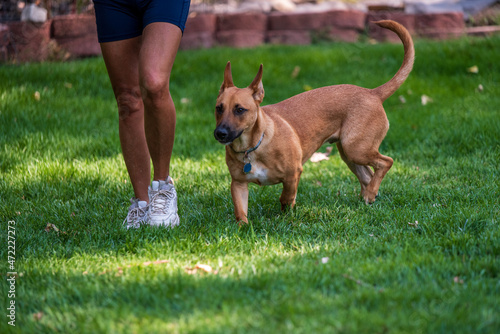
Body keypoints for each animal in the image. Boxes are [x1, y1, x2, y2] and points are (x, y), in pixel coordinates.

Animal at [214, 20, 414, 224]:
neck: (252, 145)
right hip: (349, 153)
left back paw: (371, 193)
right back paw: (367, 198)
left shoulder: (293, 174)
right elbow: (241, 213)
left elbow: (286, 197)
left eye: (239, 110)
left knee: (385, 162)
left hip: (356, 149)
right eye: (219, 108)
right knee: (368, 175)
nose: (220, 133)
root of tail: (373, 93)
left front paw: (286, 214)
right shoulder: (238, 184)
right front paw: (244, 228)